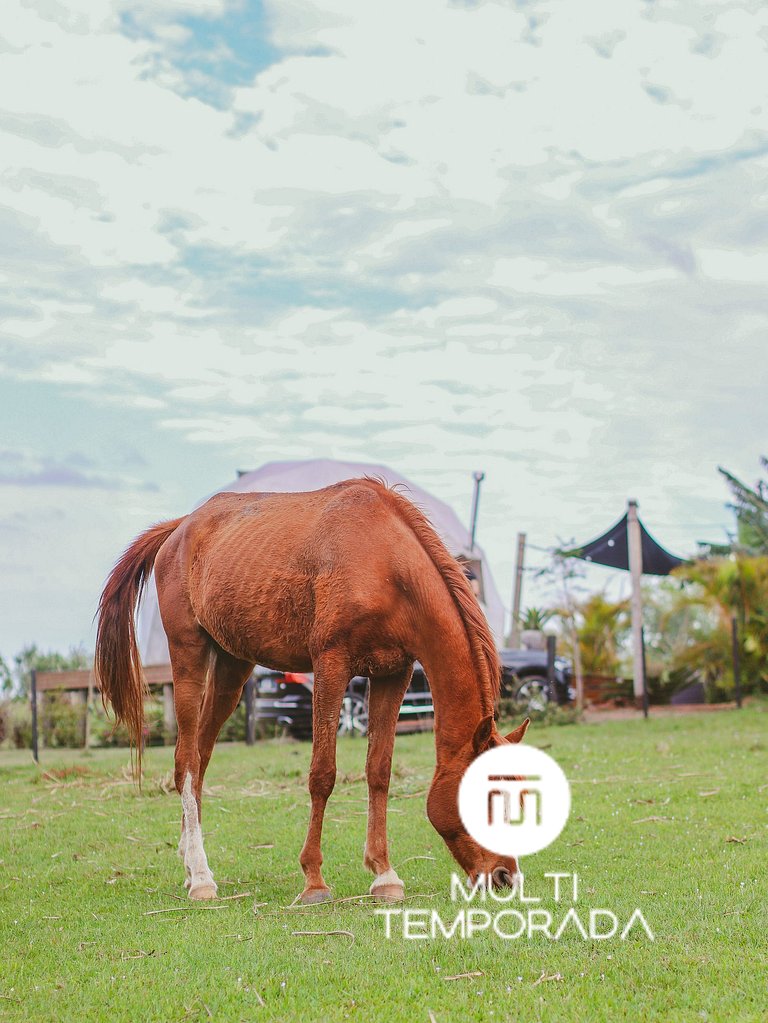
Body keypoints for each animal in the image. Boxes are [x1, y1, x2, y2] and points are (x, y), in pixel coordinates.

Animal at [94, 478, 527, 904]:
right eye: (486, 800)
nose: (505, 876)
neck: (385, 563)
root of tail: (180, 528)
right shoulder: (330, 666)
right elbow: (323, 773)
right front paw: (314, 880)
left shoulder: (394, 674)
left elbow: (379, 771)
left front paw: (384, 874)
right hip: (189, 655)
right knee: (186, 760)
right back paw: (201, 877)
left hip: (232, 668)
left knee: (201, 755)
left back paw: (188, 862)